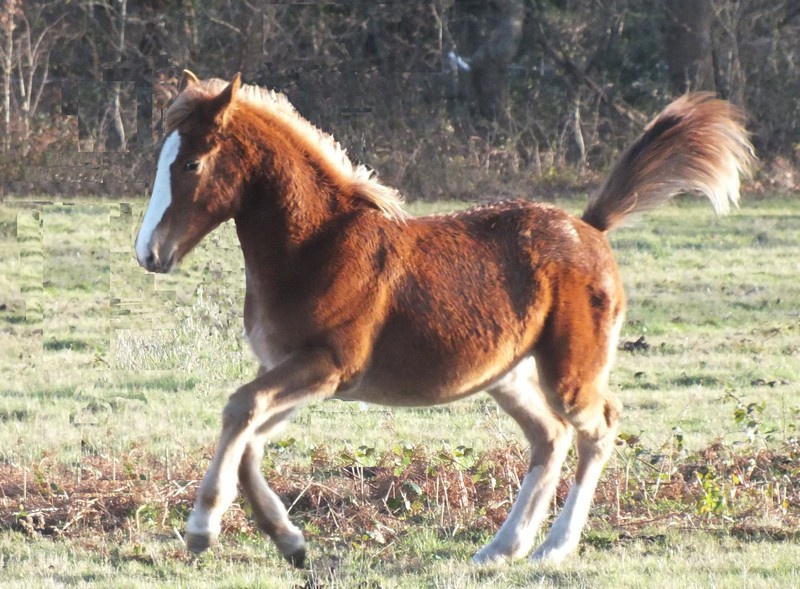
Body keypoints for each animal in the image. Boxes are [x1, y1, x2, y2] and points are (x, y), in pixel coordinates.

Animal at [134, 71, 752, 568]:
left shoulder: (330, 366)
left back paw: (554, 548)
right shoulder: (295, 371)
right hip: (506, 375)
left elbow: (240, 409)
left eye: (190, 163)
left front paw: (202, 529)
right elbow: (249, 438)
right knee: (549, 438)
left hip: (569, 372)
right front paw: (289, 539)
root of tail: (591, 227)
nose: (149, 253)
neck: (314, 246)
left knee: (598, 429)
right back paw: (501, 549)